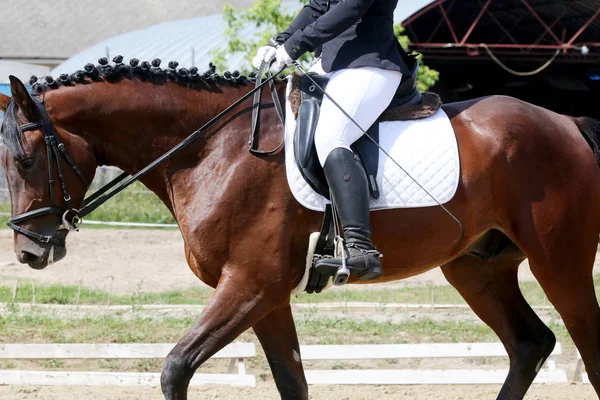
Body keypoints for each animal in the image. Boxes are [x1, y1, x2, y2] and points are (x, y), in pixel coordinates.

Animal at [1, 58, 600, 400]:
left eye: (25, 162)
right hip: (477, 269)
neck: (209, 148)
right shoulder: (264, 295)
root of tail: (566, 122)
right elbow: (292, 382)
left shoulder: (253, 283)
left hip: (559, 263)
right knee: (529, 344)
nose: (30, 252)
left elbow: (175, 368)